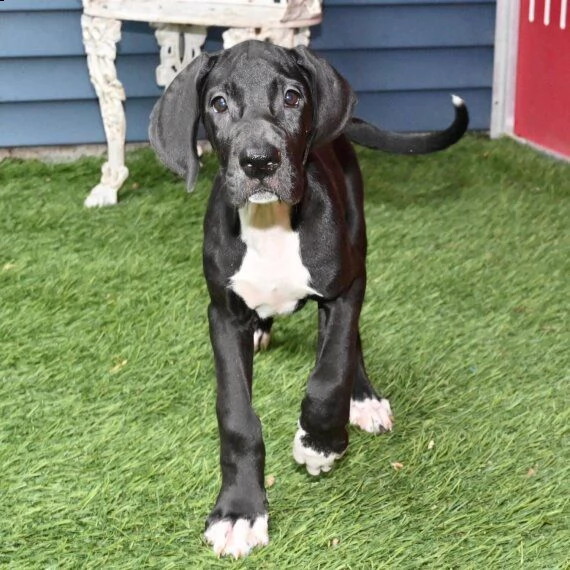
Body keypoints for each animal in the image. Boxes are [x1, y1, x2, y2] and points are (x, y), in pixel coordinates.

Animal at [148, 38, 466, 556]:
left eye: (293, 97)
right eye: (218, 104)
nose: (259, 161)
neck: (271, 224)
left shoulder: (345, 290)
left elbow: (330, 370)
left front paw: (321, 442)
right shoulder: (222, 315)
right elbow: (236, 415)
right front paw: (239, 511)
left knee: (349, 343)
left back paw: (363, 398)